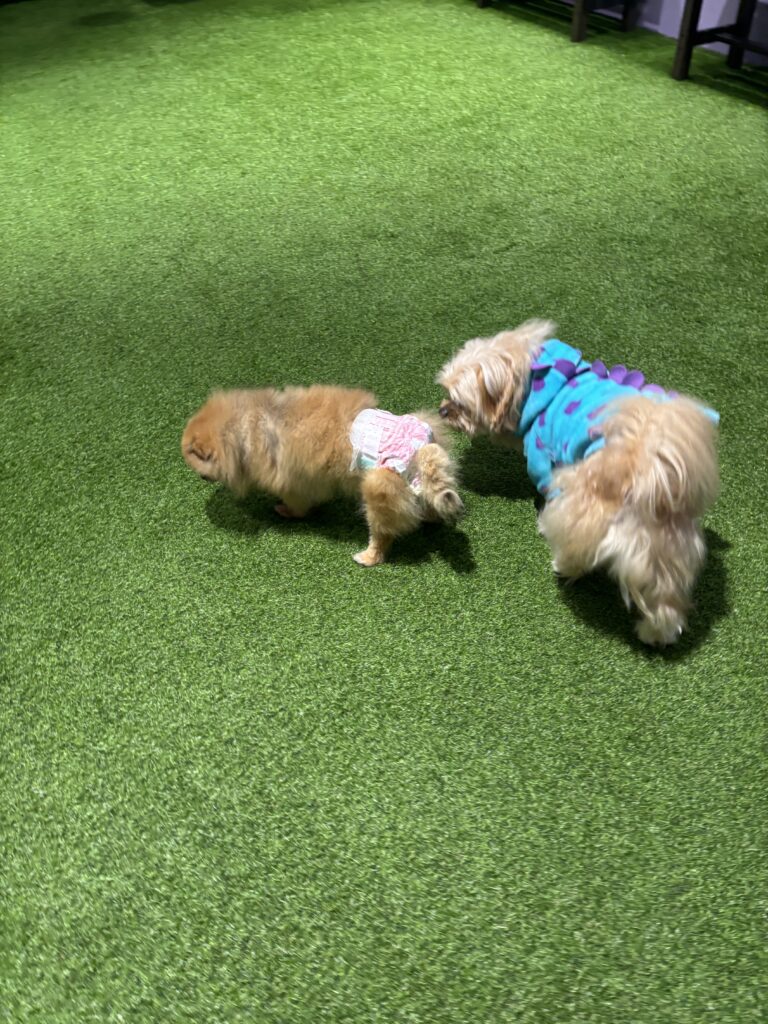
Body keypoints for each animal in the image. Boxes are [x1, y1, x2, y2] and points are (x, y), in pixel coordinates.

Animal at [182, 385, 464, 566]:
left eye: (198, 466)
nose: (200, 478)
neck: (247, 425)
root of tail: (422, 447)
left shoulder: (294, 480)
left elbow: (298, 503)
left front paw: (287, 511)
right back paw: (431, 517)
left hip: (379, 486)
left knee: (383, 532)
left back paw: (369, 557)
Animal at [437, 320, 720, 645]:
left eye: (460, 403)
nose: (442, 410)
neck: (531, 378)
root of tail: (639, 469)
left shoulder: (542, 458)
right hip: (665, 547)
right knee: (666, 603)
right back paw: (655, 635)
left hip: (582, 508)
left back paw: (560, 562)